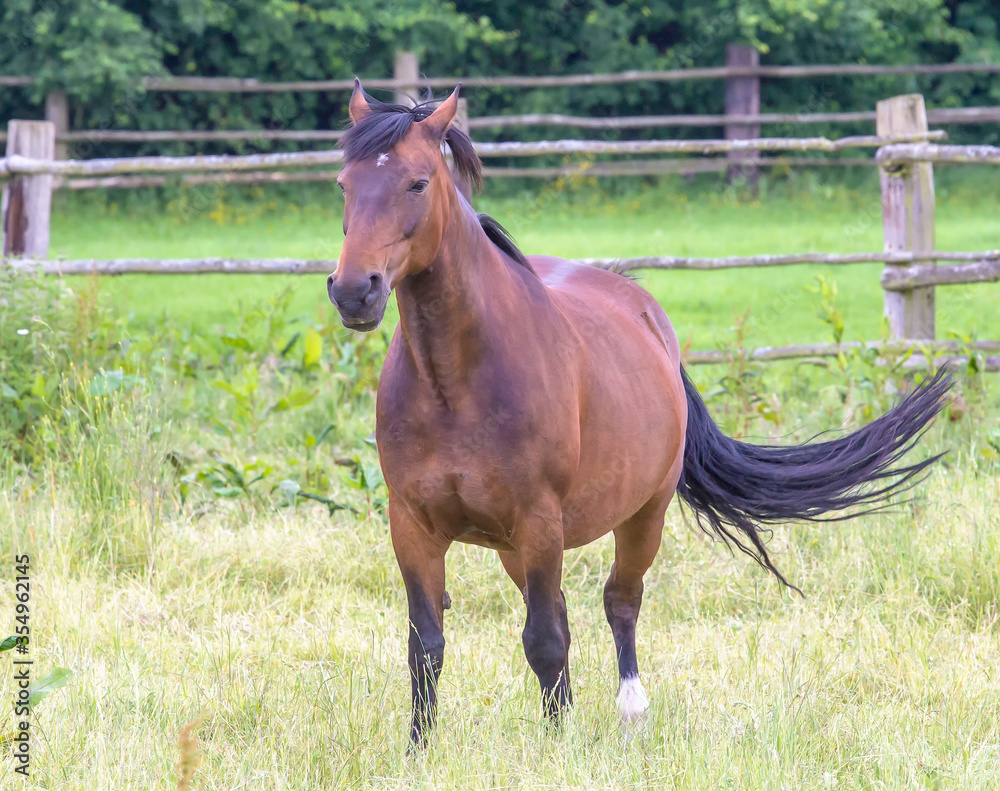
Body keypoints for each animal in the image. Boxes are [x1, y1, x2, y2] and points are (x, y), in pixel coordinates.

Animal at [326, 80, 951, 747]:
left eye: (417, 183)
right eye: (344, 183)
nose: (354, 290)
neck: (457, 384)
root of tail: (648, 313)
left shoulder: (539, 520)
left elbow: (543, 640)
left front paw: (558, 746)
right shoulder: (413, 526)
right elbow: (428, 647)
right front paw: (420, 751)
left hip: (639, 515)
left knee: (619, 601)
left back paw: (631, 709)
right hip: (517, 545)